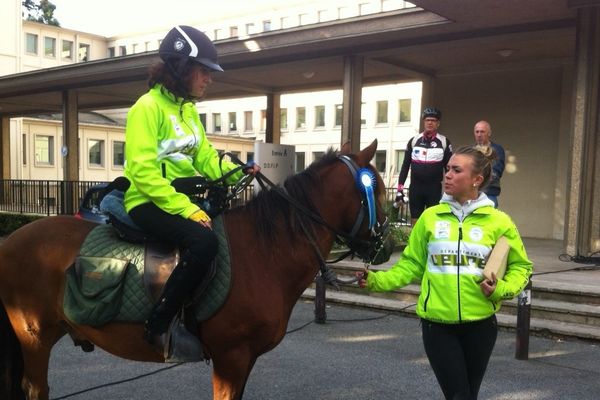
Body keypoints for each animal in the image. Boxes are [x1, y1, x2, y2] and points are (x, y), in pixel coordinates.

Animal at [0, 139, 390, 398]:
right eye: (380, 190)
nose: (385, 247)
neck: (263, 251)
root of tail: (11, 240)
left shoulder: (243, 361)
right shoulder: (231, 359)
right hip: (34, 337)